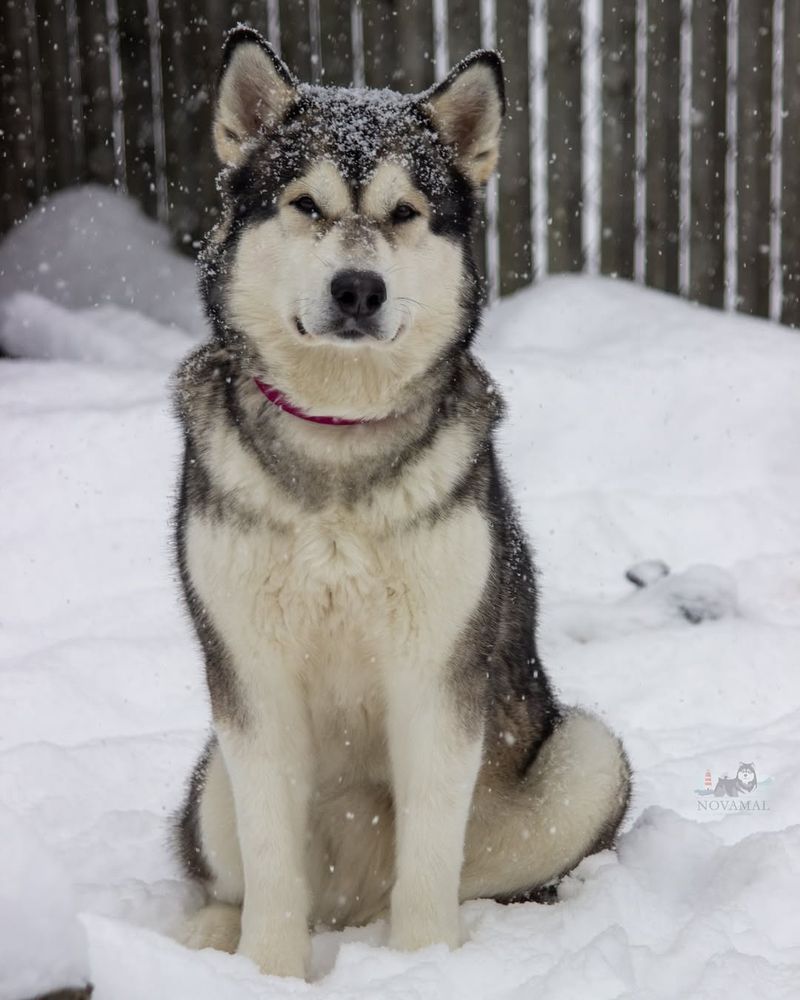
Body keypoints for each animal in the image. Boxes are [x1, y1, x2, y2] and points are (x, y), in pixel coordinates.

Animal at [175, 27, 632, 980]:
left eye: (405, 212)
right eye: (306, 205)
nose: (358, 289)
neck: (339, 434)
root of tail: (352, 905)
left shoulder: (437, 673)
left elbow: (429, 850)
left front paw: (425, 965)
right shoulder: (250, 677)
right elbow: (271, 862)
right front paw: (268, 973)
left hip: (587, 761)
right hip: (210, 779)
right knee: (240, 871)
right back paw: (210, 935)